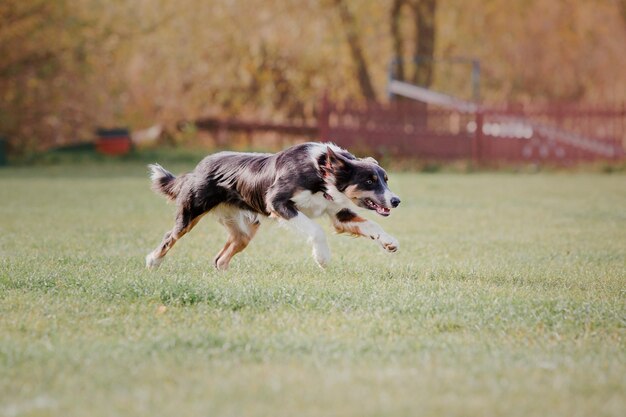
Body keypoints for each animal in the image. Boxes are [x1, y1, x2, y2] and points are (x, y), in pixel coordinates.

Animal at [145, 142, 400, 270]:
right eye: (370, 181)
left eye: (386, 180)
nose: (396, 201)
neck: (320, 171)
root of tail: (197, 169)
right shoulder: (277, 202)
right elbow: (316, 230)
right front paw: (322, 258)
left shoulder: (337, 212)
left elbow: (372, 225)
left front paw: (389, 242)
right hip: (191, 212)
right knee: (170, 236)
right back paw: (153, 261)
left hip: (245, 229)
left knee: (220, 258)